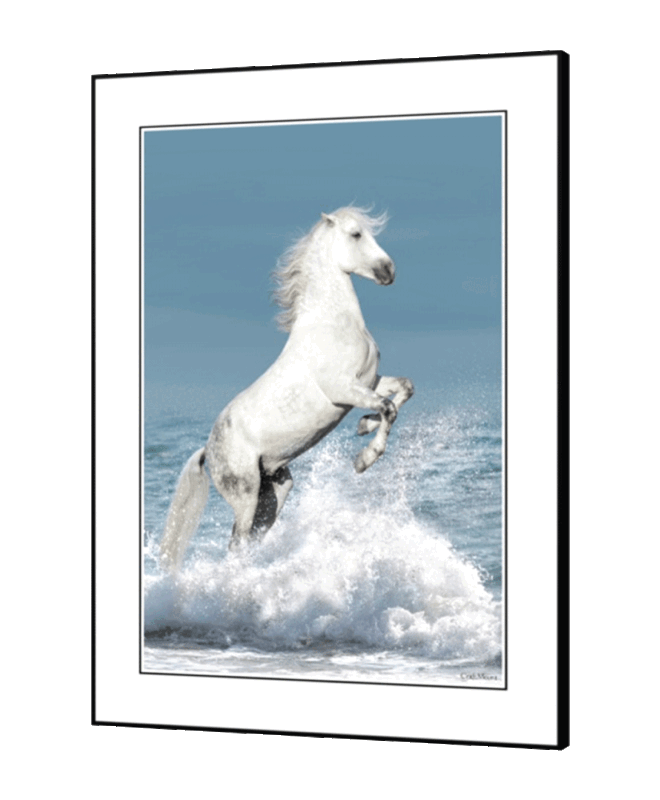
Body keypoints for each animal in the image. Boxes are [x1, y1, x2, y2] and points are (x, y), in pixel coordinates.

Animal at [159, 206, 414, 573]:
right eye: (356, 234)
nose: (388, 271)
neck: (333, 324)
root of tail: (208, 450)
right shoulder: (344, 390)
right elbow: (388, 408)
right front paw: (364, 460)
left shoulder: (369, 381)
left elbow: (403, 390)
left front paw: (364, 426)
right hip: (246, 495)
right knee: (236, 545)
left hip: (276, 490)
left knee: (250, 541)